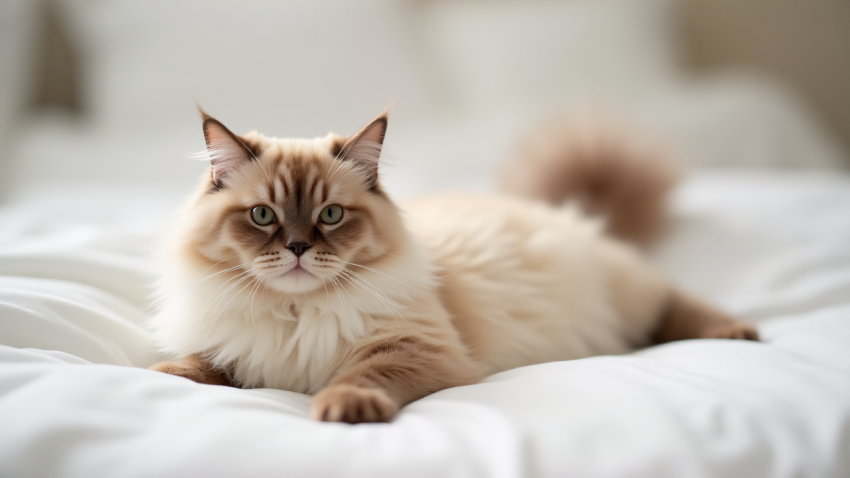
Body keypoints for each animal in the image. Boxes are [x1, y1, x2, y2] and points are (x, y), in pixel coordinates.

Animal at [149, 108, 760, 422]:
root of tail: (565, 212)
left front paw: (343, 406)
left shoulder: (413, 348)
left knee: (674, 303)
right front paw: (166, 376)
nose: (298, 248)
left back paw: (736, 332)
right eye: (262, 215)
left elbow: (359, 374)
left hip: (626, 294)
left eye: (330, 215)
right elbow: (203, 364)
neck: (295, 316)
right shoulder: (236, 346)